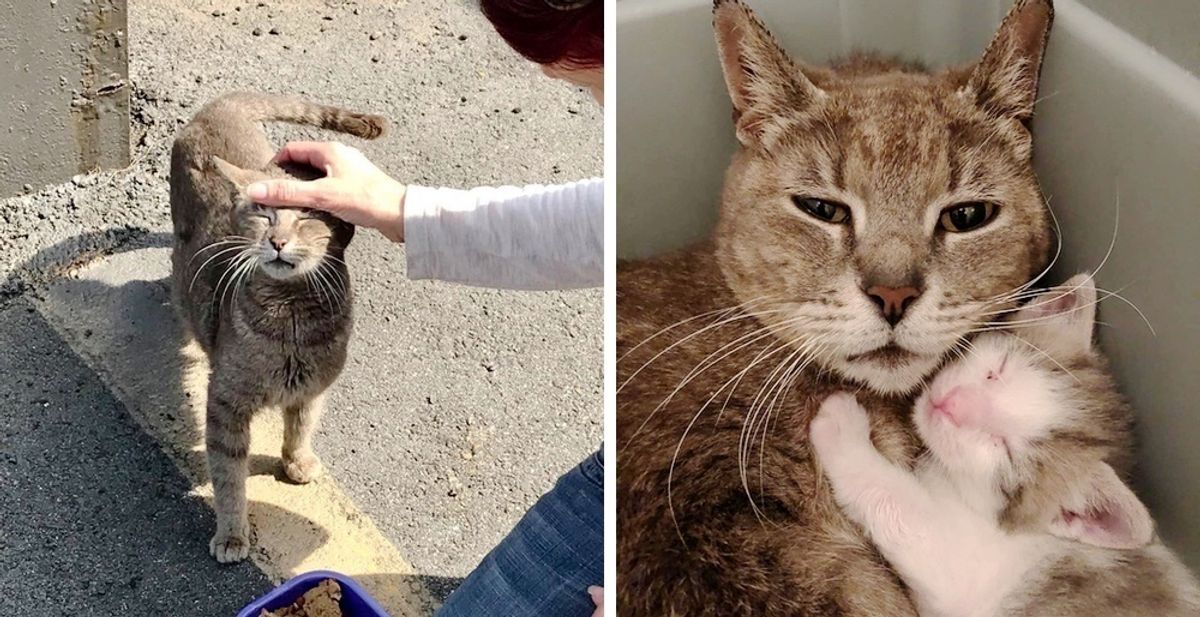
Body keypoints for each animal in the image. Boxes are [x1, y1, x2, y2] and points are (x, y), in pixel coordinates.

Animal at [166, 92, 384, 561]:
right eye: (264, 214)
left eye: (305, 216)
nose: (277, 241)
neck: (291, 321)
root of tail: (216, 108)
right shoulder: (225, 404)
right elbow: (229, 476)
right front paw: (232, 533)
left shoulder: (312, 388)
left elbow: (300, 427)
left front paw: (296, 461)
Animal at [811, 273, 1200, 614]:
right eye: (996, 370)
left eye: (1005, 449)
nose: (952, 405)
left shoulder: (967, 569)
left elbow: (903, 509)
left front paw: (843, 430)